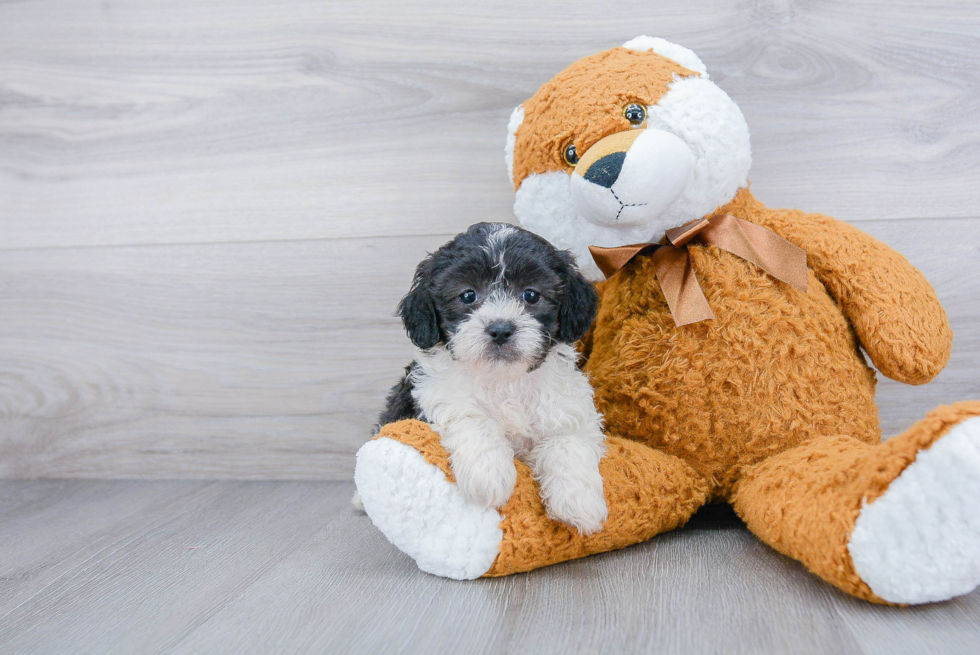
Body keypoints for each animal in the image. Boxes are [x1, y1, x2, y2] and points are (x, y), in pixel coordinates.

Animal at [374, 223, 604, 536]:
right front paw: (489, 475)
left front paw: (579, 503)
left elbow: (568, 440)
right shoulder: (436, 395)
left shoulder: (570, 408)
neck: (504, 380)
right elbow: (474, 418)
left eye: (531, 295)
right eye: (468, 296)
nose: (500, 329)